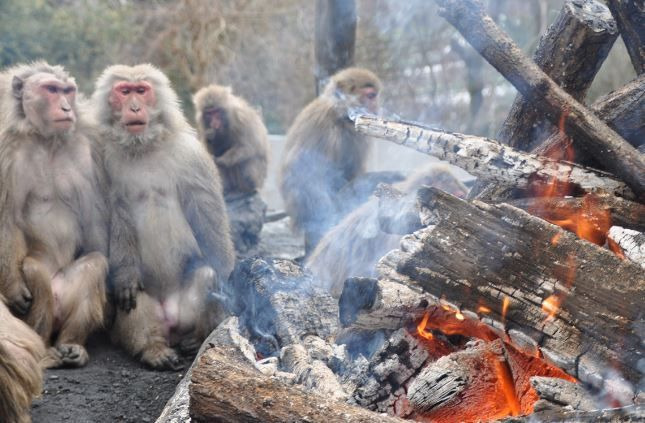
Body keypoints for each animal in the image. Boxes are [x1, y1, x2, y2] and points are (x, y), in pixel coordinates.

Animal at [0, 61, 108, 370]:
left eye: (67, 91)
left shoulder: (88, 148)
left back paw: (71, 346)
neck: (46, 140)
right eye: (50, 89)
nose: (66, 107)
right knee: (33, 269)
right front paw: (14, 288)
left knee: (94, 264)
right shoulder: (7, 152)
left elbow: (95, 219)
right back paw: (44, 349)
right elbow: (7, 216)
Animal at [93, 63, 236, 372]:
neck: (143, 146)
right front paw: (125, 277)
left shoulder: (191, 155)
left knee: (205, 275)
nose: (135, 107)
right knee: (133, 298)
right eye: (124, 92)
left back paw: (196, 339)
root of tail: (170, 322)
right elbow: (116, 213)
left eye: (142, 90)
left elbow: (205, 210)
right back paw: (153, 349)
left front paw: (225, 274)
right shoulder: (102, 159)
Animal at [278, 67, 380, 253]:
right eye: (370, 96)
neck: (339, 115)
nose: (376, 106)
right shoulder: (327, 128)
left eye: (375, 96)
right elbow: (308, 173)